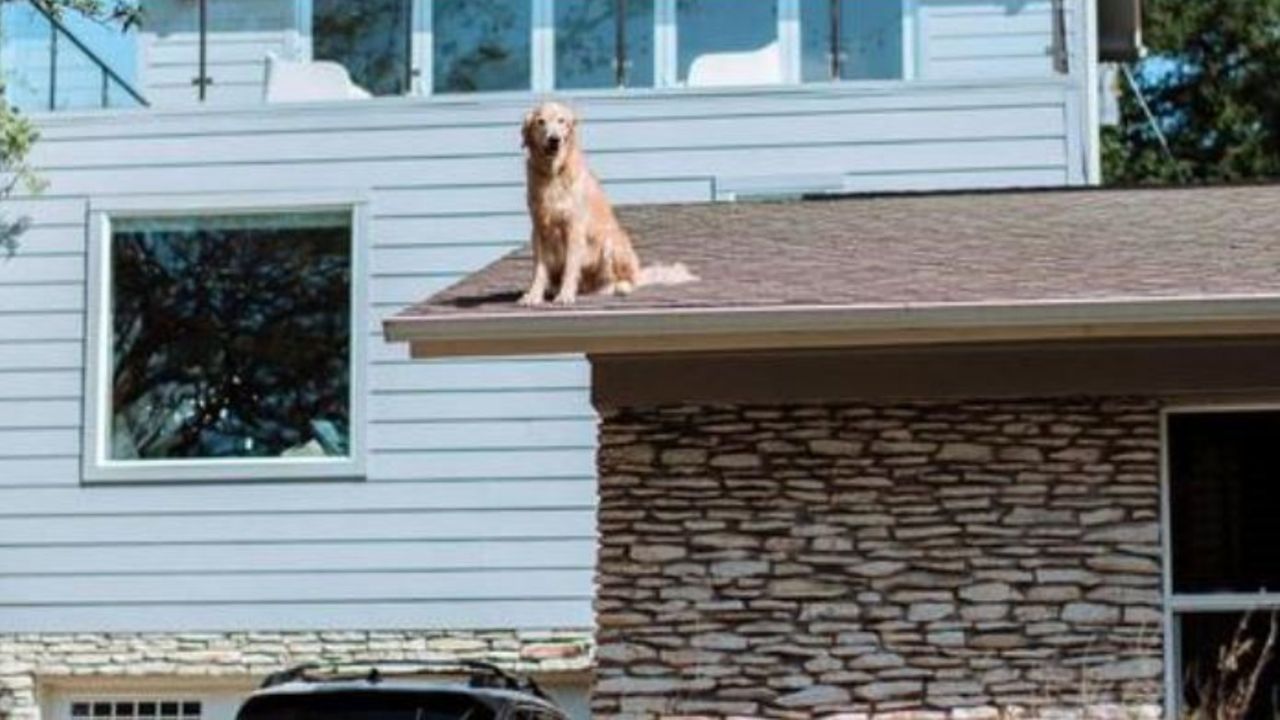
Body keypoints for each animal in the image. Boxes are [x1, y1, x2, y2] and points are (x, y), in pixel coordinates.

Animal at [517, 99, 691, 303]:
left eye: (562, 121)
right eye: (541, 121)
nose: (554, 139)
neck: (553, 173)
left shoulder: (574, 227)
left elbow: (570, 266)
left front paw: (565, 294)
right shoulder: (539, 228)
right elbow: (539, 269)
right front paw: (534, 295)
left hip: (612, 242)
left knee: (623, 280)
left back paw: (619, 287)